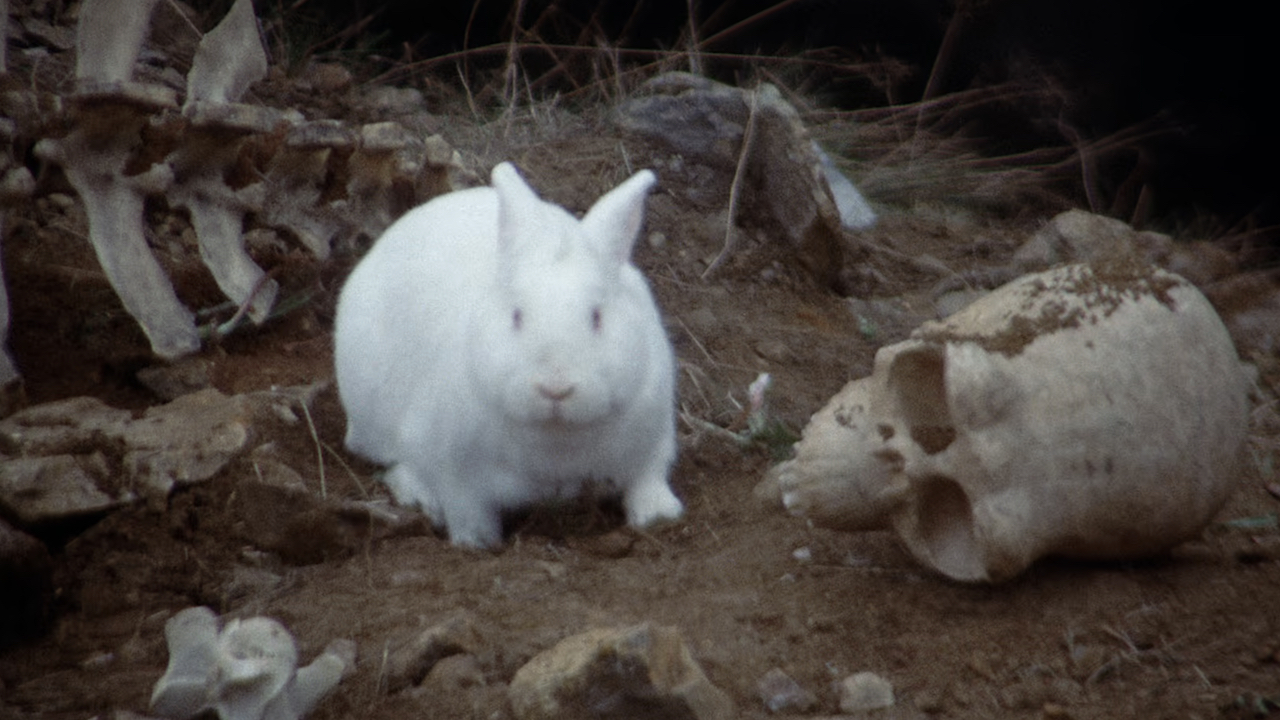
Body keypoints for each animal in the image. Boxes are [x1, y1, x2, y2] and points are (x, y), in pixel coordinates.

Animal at [335, 161, 686, 543]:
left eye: (597, 317)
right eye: (516, 316)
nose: (556, 388)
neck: (557, 436)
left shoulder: (653, 440)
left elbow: (647, 480)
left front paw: (660, 515)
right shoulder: (454, 474)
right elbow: (467, 512)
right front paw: (477, 543)